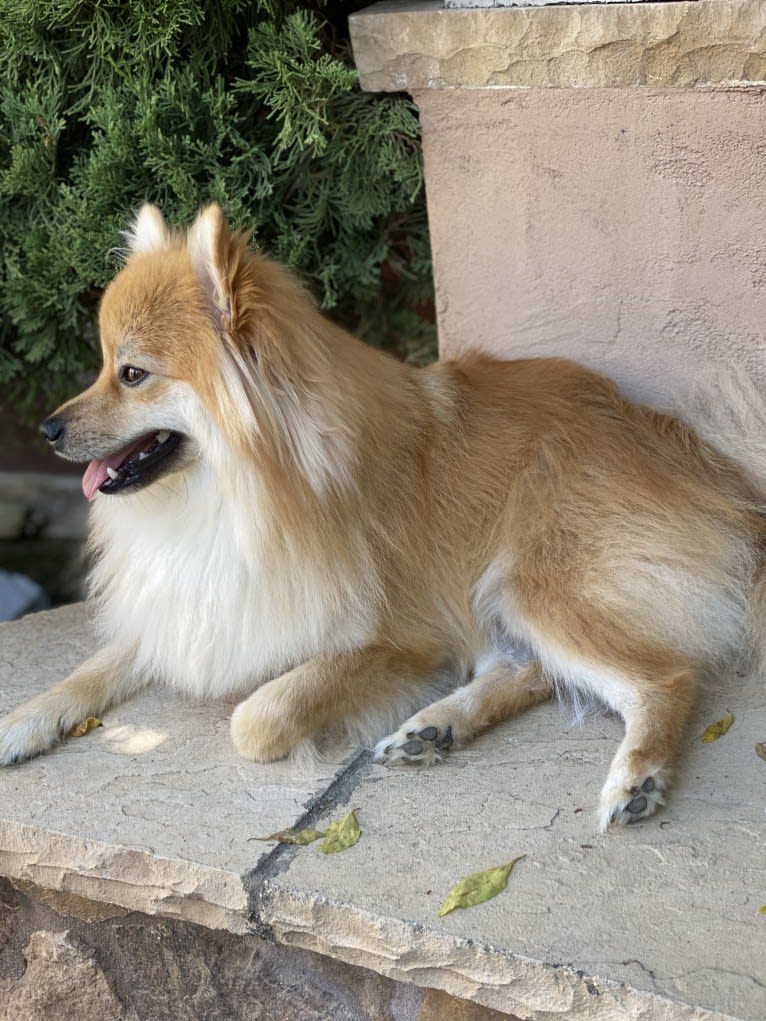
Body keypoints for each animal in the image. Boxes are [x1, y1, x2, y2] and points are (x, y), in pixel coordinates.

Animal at [1, 201, 766, 829]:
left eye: (133, 374)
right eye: (101, 365)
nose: (46, 428)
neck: (238, 494)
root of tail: (706, 458)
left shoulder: (403, 638)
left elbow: (259, 716)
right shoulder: (197, 603)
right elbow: (93, 667)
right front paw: (22, 721)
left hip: (527, 580)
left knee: (663, 678)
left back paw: (635, 778)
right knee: (537, 671)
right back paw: (437, 727)